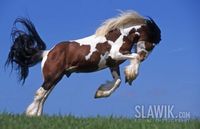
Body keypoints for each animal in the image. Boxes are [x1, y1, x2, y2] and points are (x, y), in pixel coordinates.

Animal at [5, 10, 161, 116]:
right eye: (151, 43)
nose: (145, 56)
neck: (121, 36)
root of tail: (46, 53)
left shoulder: (113, 64)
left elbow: (117, 82)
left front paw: (99, 93)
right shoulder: (116, 54)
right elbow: (134, 58)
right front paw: (131, 74)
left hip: (56, 78)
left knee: (44, 96)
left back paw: (38, 116)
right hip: (52, 77)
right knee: (39, 94)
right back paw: (31, 115)